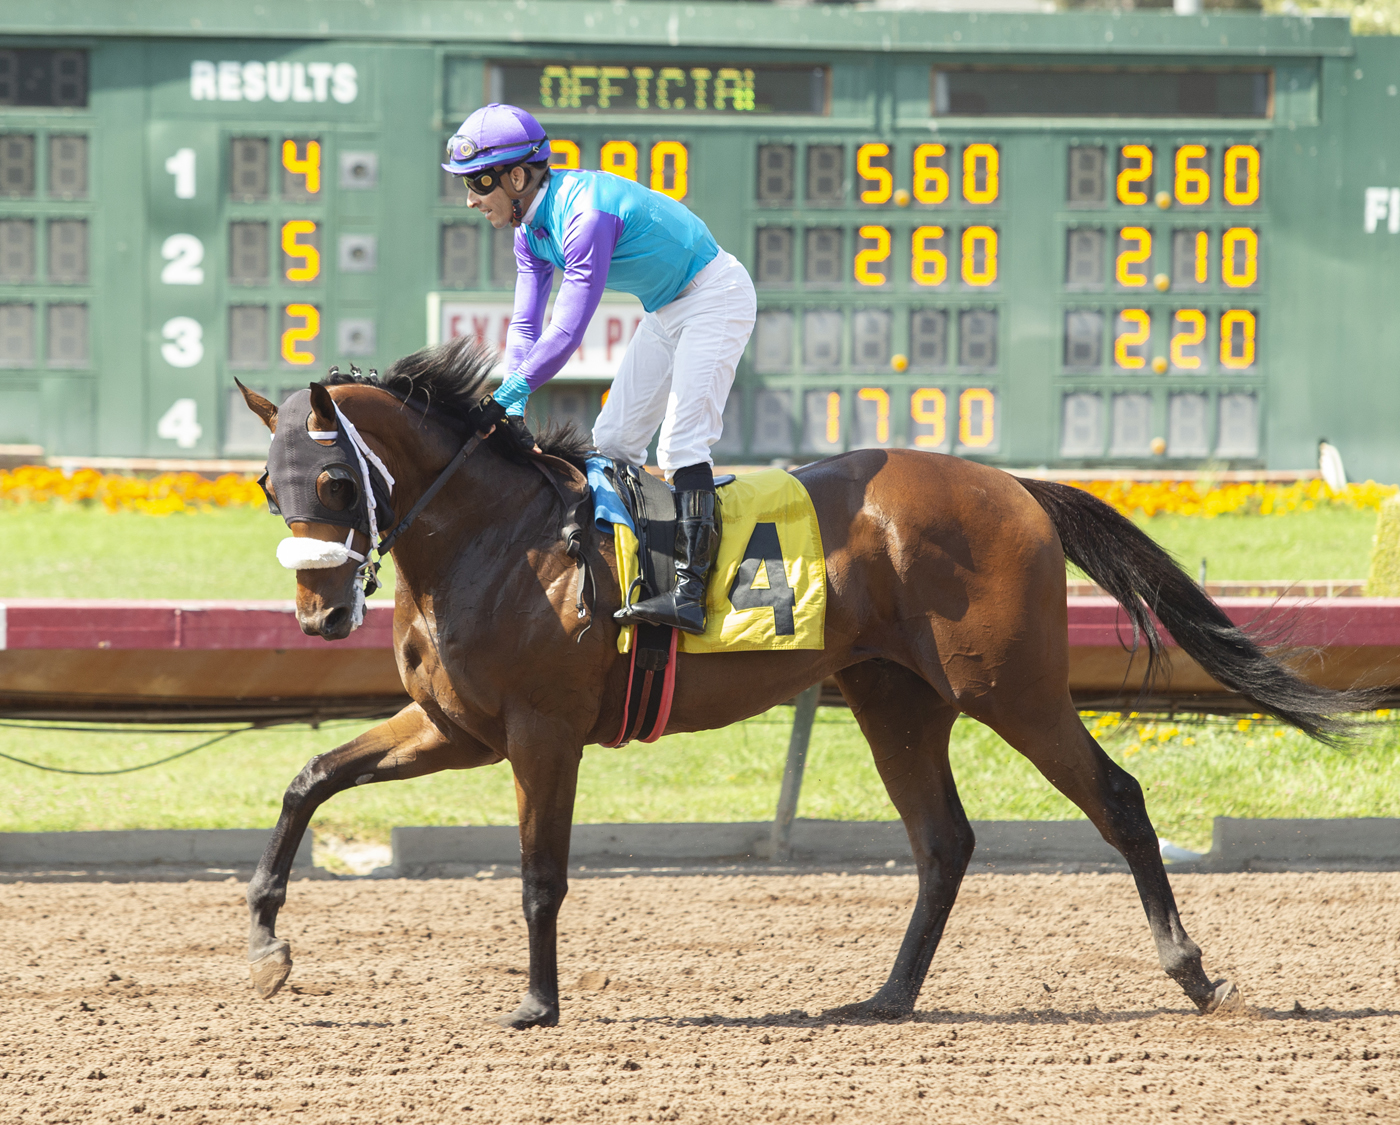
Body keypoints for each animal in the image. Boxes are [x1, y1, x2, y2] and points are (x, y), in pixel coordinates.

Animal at [238, 340, 1366, 1029]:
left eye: (333, 478)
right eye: (265, 483)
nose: (319, 616)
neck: (495, 539)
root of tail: (1011, 483)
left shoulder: (539, 732)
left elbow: (539, 875)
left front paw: (537, 1004)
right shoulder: (454, 725)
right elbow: (307, 778)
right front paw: (263, 943)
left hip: (1014, 687)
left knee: (1116, 799)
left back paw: (1191, 970)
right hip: (893, 697)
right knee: (943, 841)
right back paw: (885, 997)